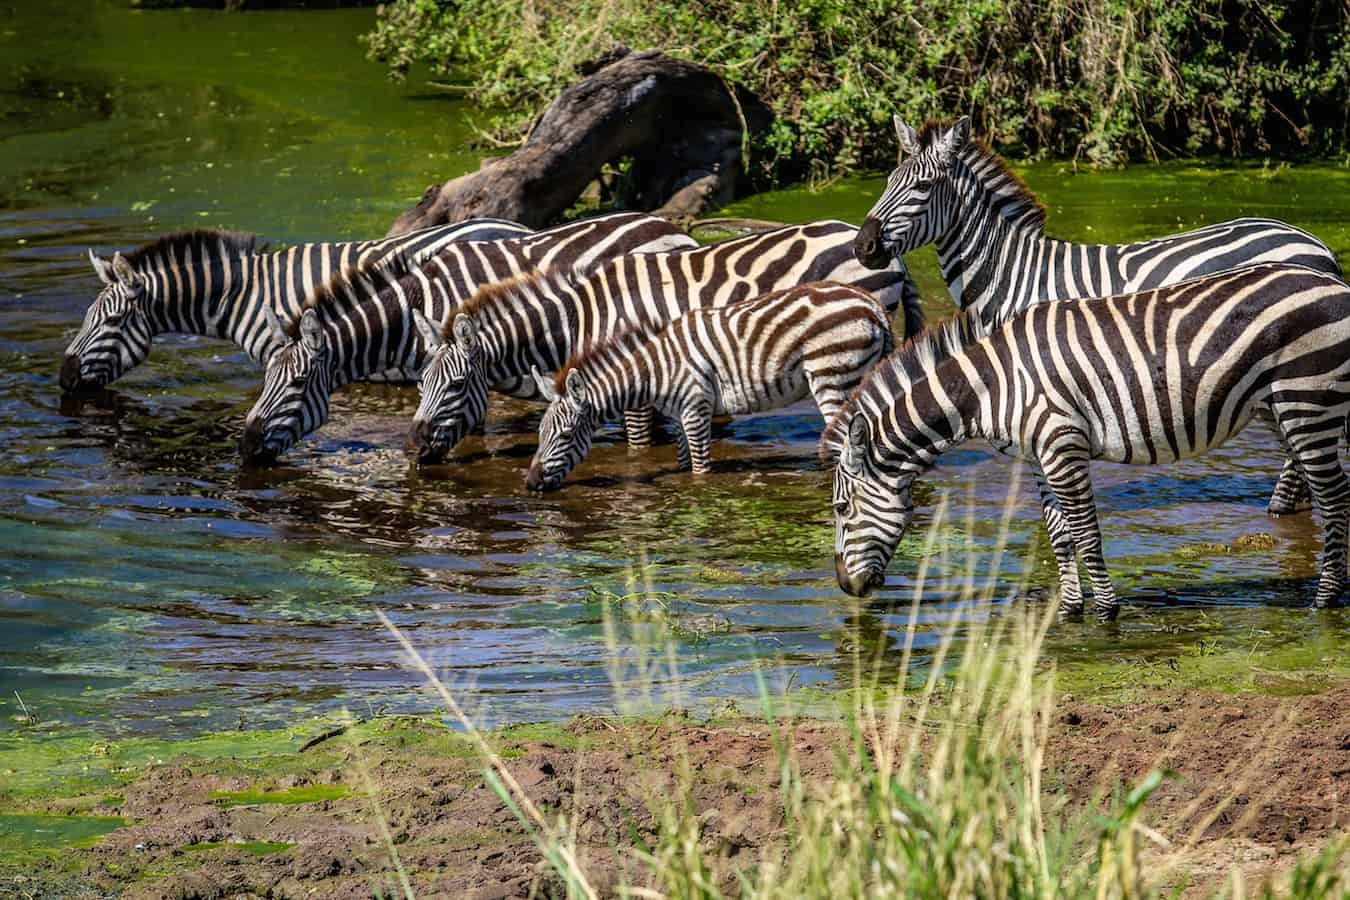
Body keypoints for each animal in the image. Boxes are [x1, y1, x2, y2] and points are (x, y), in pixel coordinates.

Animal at [60, 218, 530, 394]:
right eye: (86, 318)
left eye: (113, 321)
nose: (64, 380)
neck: (247, 296)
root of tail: (518, 227)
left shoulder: (287, 352)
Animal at [408, 220, 922, 464]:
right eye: (419, 385)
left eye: (454, 387)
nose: (413, 444)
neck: (581, 315)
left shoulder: (634, 378)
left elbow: (637, 446)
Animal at [523, 282, 894, 491]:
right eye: (539, 434)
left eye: (566, 435)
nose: (530, 484)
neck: (656, 371)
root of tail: (871, 303)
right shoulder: (681, 415)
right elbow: (684, 461)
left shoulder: (696, 408)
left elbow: (700, 471)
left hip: (834, 377)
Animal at [822, 262, 1350, 620]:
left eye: (842, 509)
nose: (844, 587)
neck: (991, 385)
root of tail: (1334, 283)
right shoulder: (1038, 456)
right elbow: (1059, 534)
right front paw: (1069, 610)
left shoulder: (1062, 442)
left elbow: (1087, 532)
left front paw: (1106, 612)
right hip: (1289, 411)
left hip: (1308, 401)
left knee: (1334, 498)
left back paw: (1324, 600)